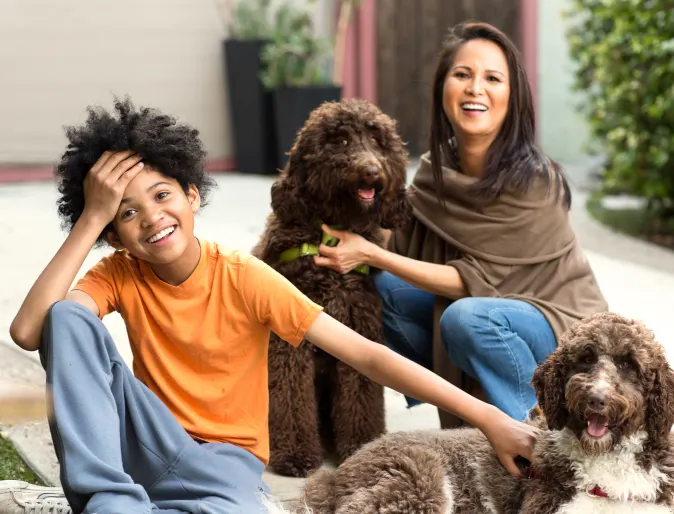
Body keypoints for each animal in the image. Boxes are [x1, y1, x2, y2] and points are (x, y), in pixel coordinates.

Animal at [253, 97, 406, 476]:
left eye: (377, 141)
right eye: (340, 141)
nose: (372, 171)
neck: (332, 234)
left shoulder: (361, 328)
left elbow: (360, 394)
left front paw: (358, 446)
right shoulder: (288, 340)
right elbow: (291, 395)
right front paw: (294, 454)